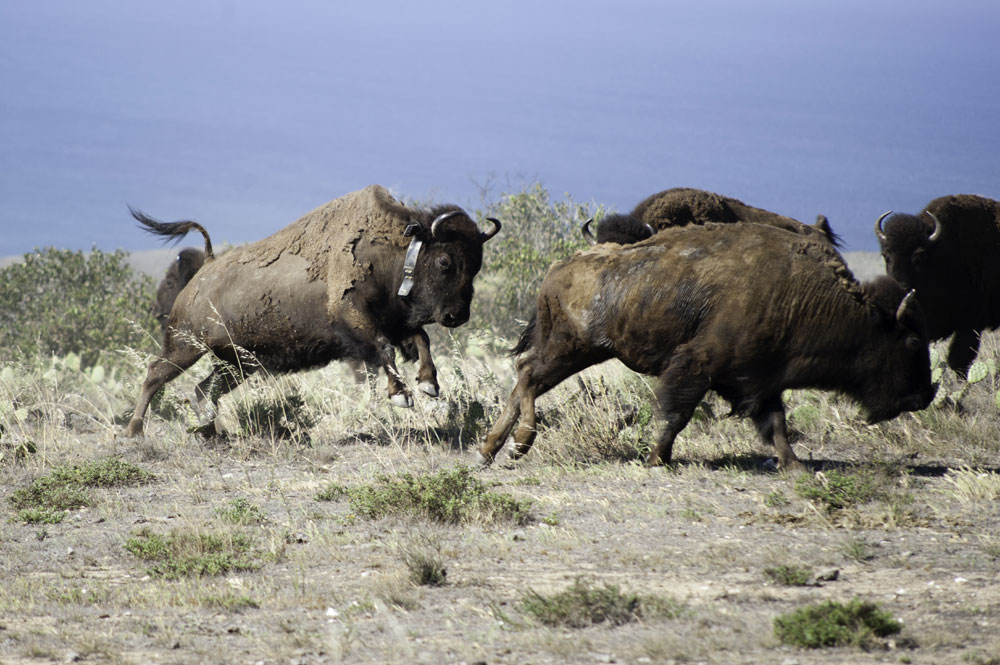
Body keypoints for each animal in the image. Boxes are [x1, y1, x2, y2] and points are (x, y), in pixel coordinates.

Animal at [124, 185, 500, 437]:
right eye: (445, 261)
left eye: (477, 264)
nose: (457, 316)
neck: (397, 252)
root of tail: (206, 269)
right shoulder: (357, 320)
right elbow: (384, 350)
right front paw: (401, 396)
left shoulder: (397, 324)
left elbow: (421, 341)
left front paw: (429, 384)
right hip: (185, 346)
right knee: (156, 374)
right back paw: (135, 431)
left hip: (238, 363)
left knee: (205, 390)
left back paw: (209, 434)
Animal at [481, 223, 934, 470]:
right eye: (913, 340)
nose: (924, 395)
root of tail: (560, 267)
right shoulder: (697, 367)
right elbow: (676, 415)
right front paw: (657, 459)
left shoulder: (763, 380)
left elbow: (777, 425)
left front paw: (795, 466)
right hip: (572, 348)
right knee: (528, 376)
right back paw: (519, 443)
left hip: (579, 351)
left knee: (525, 379)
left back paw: (491, 449)